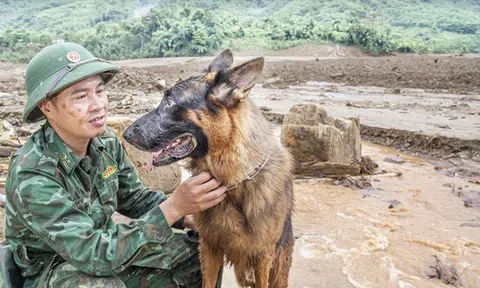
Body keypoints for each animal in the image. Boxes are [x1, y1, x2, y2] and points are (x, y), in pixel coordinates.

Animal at [122, 50, 294, 286]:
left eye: (169, 102)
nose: (126, 134)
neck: (233, 180)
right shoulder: (209, 247)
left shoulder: (262, 256)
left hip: (278, 269)